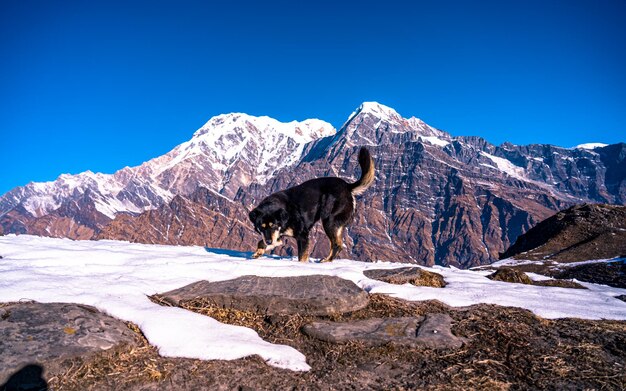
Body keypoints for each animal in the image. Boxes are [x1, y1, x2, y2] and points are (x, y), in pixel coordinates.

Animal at [247, 147, 376, 264]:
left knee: (336, 244)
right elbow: (261, 241)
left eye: (273, 225)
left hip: (330, 221)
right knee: (338, 244)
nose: (269, 241)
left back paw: (326, 260)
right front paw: (258, 252)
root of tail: (348, 187)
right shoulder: (278, 235)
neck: (285, 216)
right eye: (261, 227)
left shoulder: (302, 235)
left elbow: (302, 257)